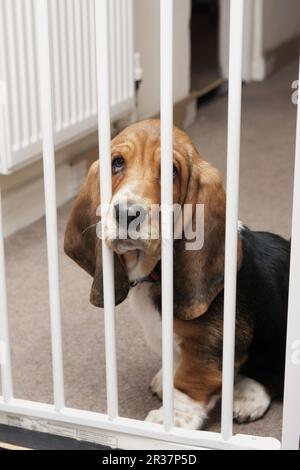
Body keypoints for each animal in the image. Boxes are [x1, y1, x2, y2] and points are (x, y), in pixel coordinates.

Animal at [63, 118, 290, 430]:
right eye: (117, 163)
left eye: (171, 171)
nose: (126, 214)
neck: (154, 272)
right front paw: (165, 381)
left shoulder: (206, 348)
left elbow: (187, 384)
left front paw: (167, 421)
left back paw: (247, 397)